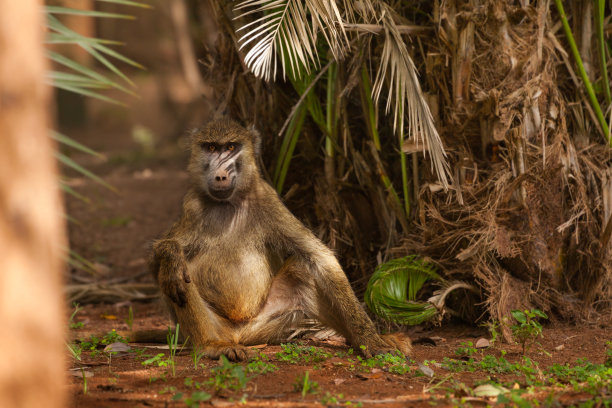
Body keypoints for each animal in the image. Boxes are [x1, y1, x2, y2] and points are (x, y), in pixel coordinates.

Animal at [151, 117, 412, 360]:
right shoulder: (192, 206)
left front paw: (371, 339)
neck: (228, 204)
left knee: (301, 271)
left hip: (264, 325)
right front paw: (171, 253)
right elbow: (161, 258)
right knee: (178, 277)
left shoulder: (268, 199)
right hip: (217, 327)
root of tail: (237, 335)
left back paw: (367, 339)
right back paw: (211, 346)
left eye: (231, 147)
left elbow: (319, 257)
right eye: (211, 147)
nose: (221, 176)